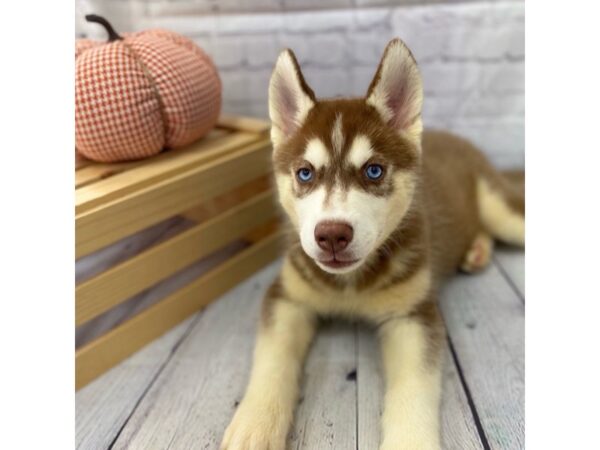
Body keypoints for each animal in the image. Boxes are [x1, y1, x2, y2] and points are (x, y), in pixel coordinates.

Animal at [221, 38, 524, 450]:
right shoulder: (287, 296)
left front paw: (411, 443)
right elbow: (273, 358)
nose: (332, 234)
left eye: (374, 171)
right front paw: (256, 422)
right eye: (305, 173)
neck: (350, 285)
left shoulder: (413, 316)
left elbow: (413, 389)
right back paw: (476, 252)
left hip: (501, 210)